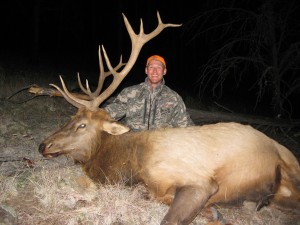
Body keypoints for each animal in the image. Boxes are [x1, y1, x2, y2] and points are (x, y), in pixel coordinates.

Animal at [38, 11, 300, 225]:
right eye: (71, 117)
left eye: (82, 125)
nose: (43, 145)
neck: (133, 163)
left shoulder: (199, 181)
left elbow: (169, 214)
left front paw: (212, 212)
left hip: (290, 163)